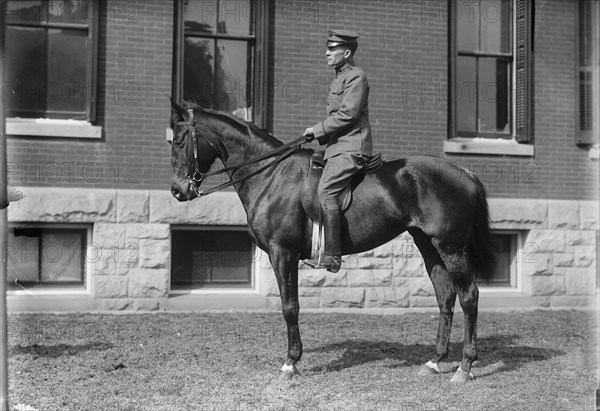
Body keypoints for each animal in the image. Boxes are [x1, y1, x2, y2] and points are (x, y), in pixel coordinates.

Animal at [170, 101, 496, 384]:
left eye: (179, 141)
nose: (177, 190)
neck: (271, 174)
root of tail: (463, 172)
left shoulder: (282, 253)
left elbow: (290, 307)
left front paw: (290, 363)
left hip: (451, 247)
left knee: (469, 296)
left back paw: (465, 367)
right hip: (428, 246)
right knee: (446, 297)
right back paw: (434, 361)